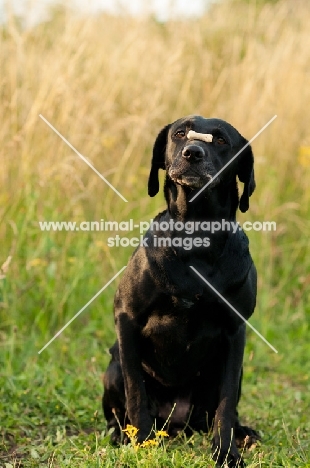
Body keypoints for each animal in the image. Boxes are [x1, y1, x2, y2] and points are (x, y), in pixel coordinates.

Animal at [103, 115, 260, 466]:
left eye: (221, 140)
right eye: (179, 133)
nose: (192, 153)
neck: (196, 241)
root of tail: (175, 423)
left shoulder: (235, 332)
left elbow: (225, 407)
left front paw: (226, 453)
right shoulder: (126, 318)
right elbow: (136, 393)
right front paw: (143, 444)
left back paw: (244, 433)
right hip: (114, 366)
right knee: (120, 411)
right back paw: (124, 435)